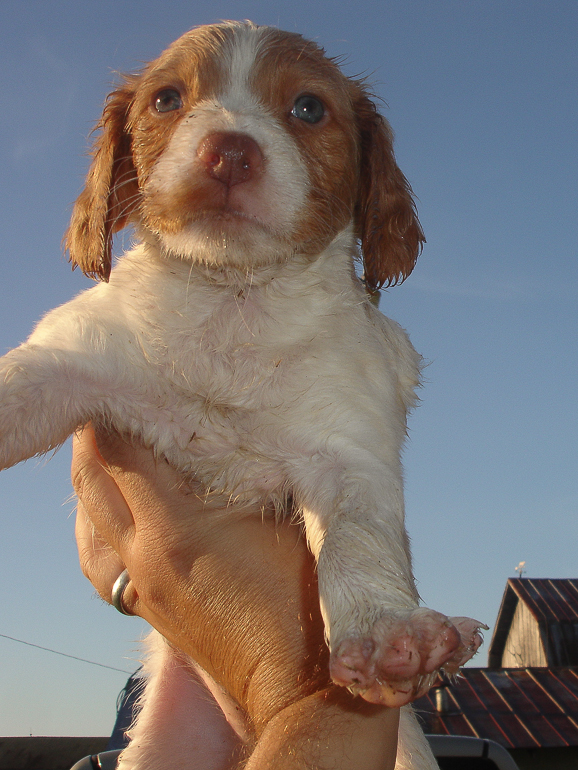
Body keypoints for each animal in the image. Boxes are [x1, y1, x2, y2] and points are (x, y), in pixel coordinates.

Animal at [0, 21, 482, 764]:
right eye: (167, 99)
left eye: (309, 108)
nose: (228, 151)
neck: (232, 301)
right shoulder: (71, 359)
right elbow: (17, 386)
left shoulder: (349, 447)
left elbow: (357, 536)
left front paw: (385, 630)